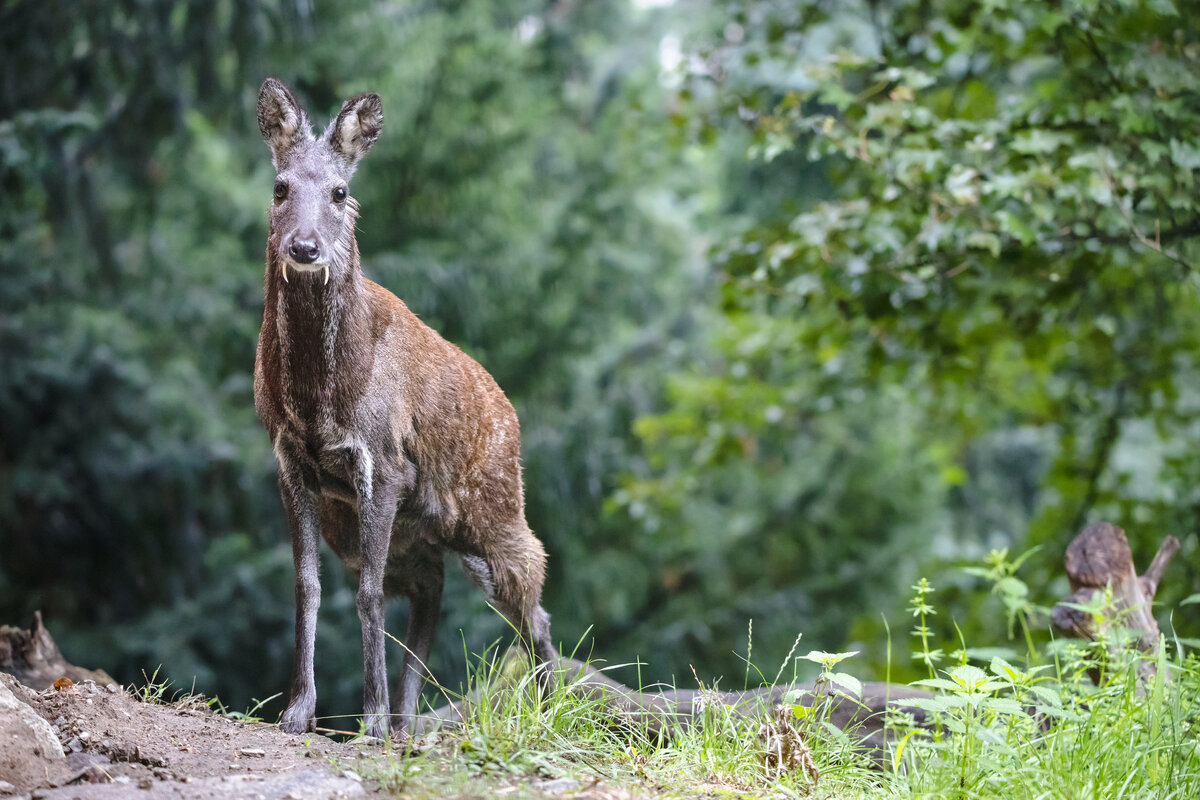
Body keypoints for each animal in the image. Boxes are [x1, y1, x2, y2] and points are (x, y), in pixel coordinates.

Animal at [253, 77, 556, 743]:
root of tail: (511, 414)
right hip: (409, 530)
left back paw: (550, 714)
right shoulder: (291, 462)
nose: (305, 247)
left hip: (495, 508)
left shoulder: (385, 462)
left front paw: (364, 717)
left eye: (340, 192)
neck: (321, 400)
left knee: (533, 598)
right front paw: (298, 712)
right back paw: (405, 721)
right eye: (280, 186)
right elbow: (307, 586)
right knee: (430, 593)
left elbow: (366, 595)